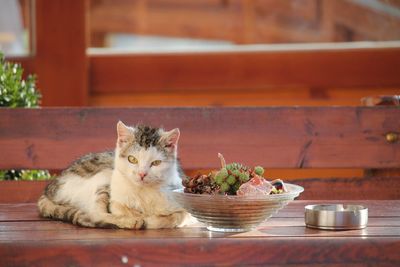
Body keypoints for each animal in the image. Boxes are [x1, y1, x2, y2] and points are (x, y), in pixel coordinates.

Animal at [37, 122, 188, 229]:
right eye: (132, 159)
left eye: (156, 163)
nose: (141, 174)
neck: (143, 192)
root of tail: (50, 188)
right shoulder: (115, 202)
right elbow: (120, 209)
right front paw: (138, 217)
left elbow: (178, 217)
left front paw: (150, 219)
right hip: (104, 176)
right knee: (93, 214)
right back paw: (131, 222)